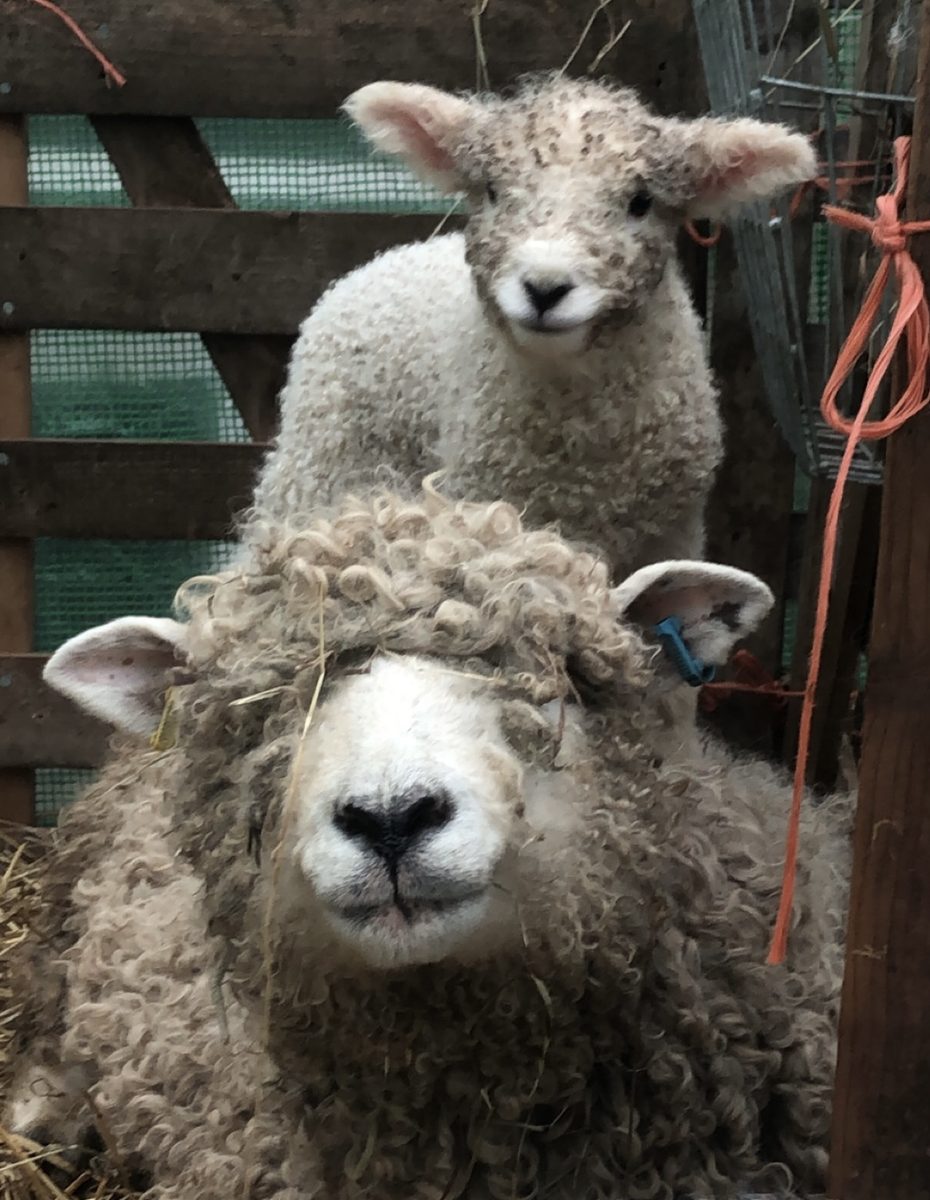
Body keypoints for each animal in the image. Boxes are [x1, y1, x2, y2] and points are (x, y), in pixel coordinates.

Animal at [247, 74, 816, 576]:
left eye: (641, 202)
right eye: (492, 191)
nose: (544, 288)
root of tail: (387, 257)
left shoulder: (672, 533)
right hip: (325, 456)